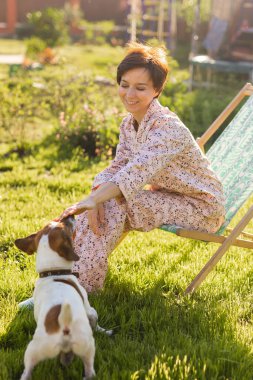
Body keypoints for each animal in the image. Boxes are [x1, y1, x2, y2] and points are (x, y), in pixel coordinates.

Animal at [14, 217, 96, 380]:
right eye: (67, 227)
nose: (68, 216)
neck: (53, 273)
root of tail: (64, 327)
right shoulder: (89, 309)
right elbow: (94, 319)